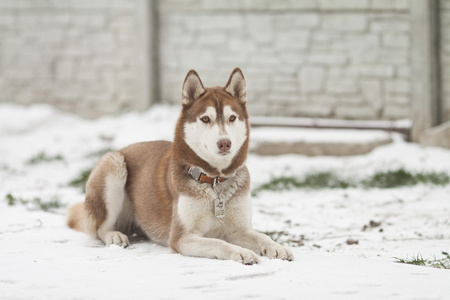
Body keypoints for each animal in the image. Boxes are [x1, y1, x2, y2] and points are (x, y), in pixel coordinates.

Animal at [67, 68, 292, 264]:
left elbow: (262, 236)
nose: (224, 143)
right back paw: (114, 235)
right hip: (113, 164)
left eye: (232, 118)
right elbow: (217, 243)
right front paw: (240, 252)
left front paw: (276, 247)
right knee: (99, 228)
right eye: (205, 119)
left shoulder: (239, 229)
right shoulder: (181, 237)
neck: (214, 180)